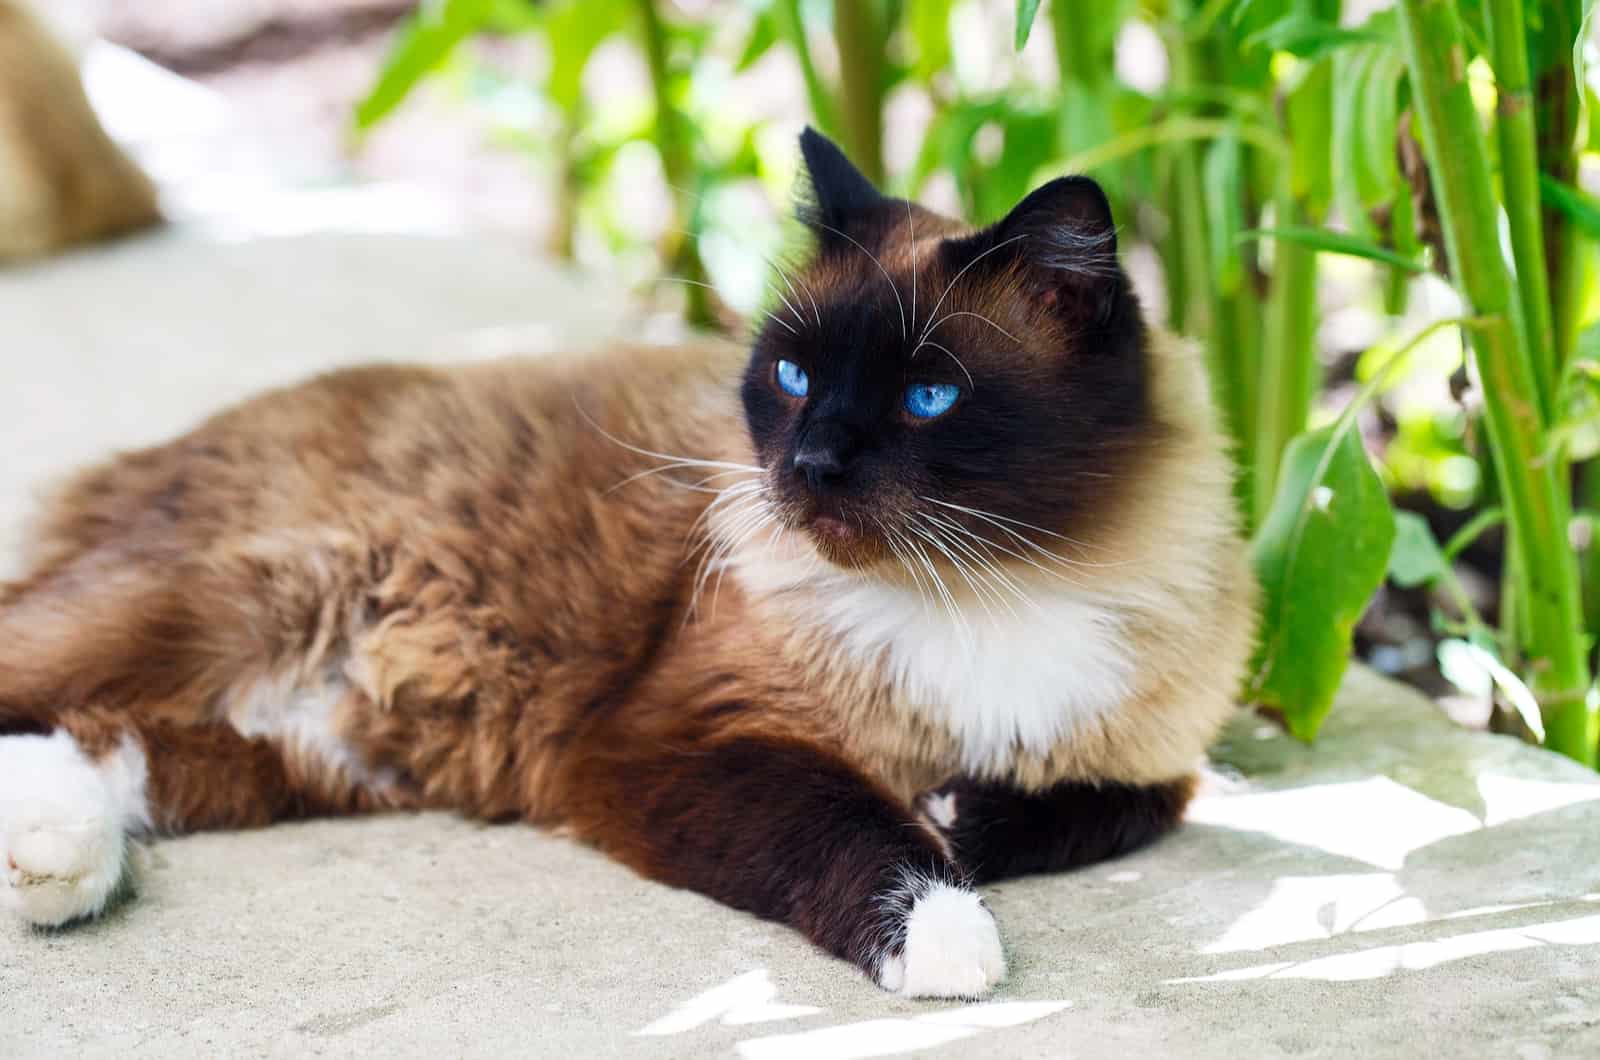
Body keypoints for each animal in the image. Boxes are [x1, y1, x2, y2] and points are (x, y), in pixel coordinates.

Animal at [0, 128, 1248, 999]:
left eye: (927, 397)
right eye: (792, 377)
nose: (809, 462)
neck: (988, 585)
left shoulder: (1157, 759)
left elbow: (1107, 808)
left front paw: (959, 813)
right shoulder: (687, 736)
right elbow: (866, 827)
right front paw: (947, 934)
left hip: (290, 747)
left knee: (94, 745)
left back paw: (50, 868)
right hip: (227, 612)